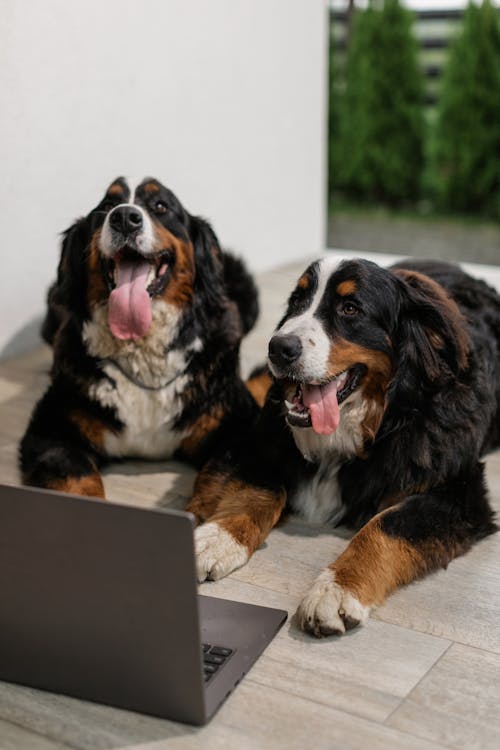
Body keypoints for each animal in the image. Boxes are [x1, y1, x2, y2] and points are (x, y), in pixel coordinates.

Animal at [19, 178, 262, 500]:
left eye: (161, 206)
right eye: (107, 206)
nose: (124, 217)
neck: (142, 351)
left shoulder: (240, 426)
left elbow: (230, 487)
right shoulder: (53, 429)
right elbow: (78, 483)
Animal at [188, 260, 500, 640]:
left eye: (350, 309)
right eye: (296, 302)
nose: (279, 347)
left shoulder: (458, 492)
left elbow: (386, 526)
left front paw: (335, 590)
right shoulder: (255, 441)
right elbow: (261, 490)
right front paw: (215, 538)